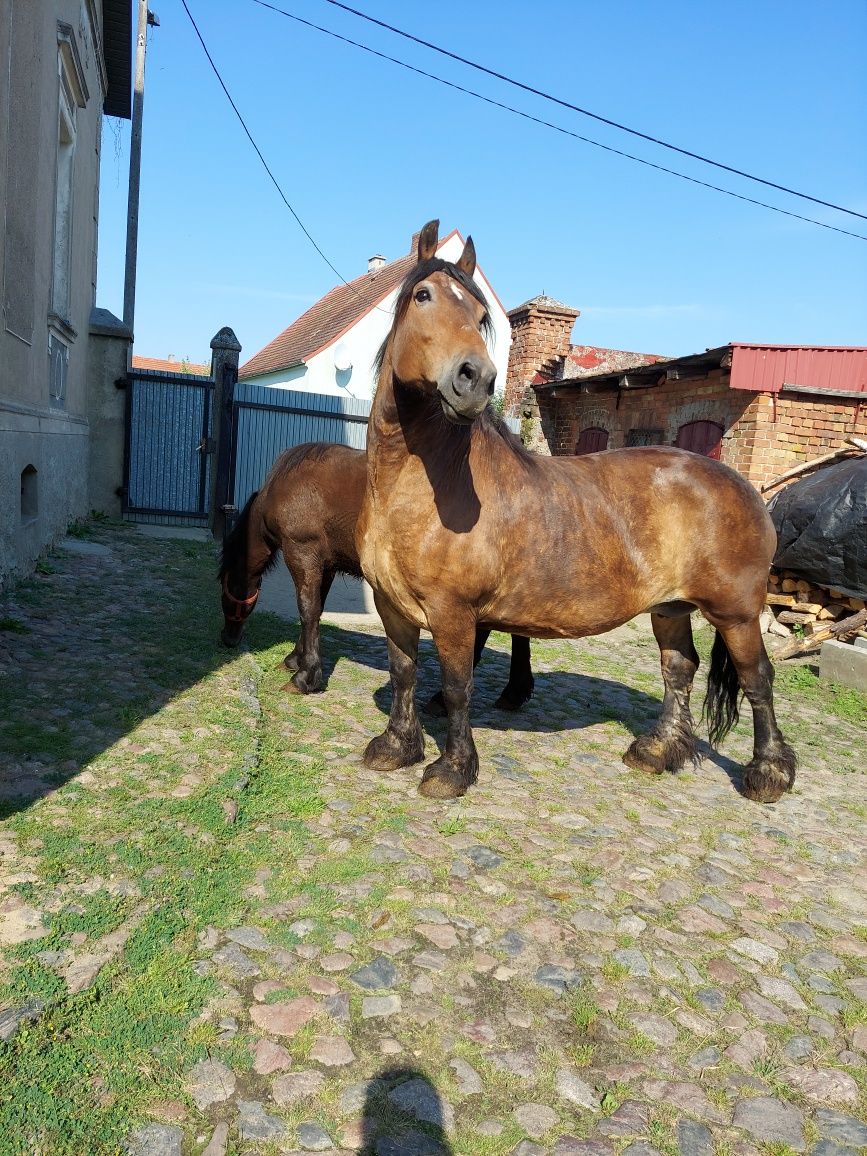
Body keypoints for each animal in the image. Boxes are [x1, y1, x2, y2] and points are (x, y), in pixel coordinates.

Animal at [217, 441, 536, 707]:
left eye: (224, 590)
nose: (228, 639)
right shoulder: (325, 564)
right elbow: (316, 611)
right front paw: (297, 659)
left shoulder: (302, 554)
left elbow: (307, 610)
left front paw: (305, 676)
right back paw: (511, 693)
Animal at [356, 223, 799, 804]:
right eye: (423, 296)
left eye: (479, 314)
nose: (475, 378)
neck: (422, 487)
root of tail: (745, 488)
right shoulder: (393, 605)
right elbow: (405, 672)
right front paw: (396, 747)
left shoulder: (454, 613)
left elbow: (455, 686)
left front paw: (452, 769)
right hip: (671, 608)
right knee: (679, 669)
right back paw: (656, 751)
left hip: (737, 613)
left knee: (757, 678)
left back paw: (768, 773)